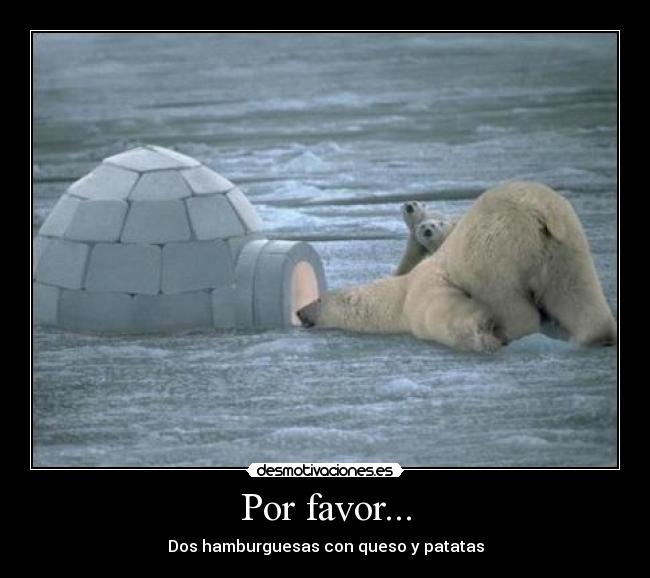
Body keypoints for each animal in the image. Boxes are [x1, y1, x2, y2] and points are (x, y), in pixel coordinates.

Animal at [297, 181, 617, 352]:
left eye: (318, 298)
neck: (398, 296)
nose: (300, 311)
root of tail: (539, 208)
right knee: (576, 291)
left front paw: (481, 331)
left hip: (495, 247)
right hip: (566, 245)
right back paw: (594, 336)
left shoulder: (423, 291)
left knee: (505, 296)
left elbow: (443, 312)